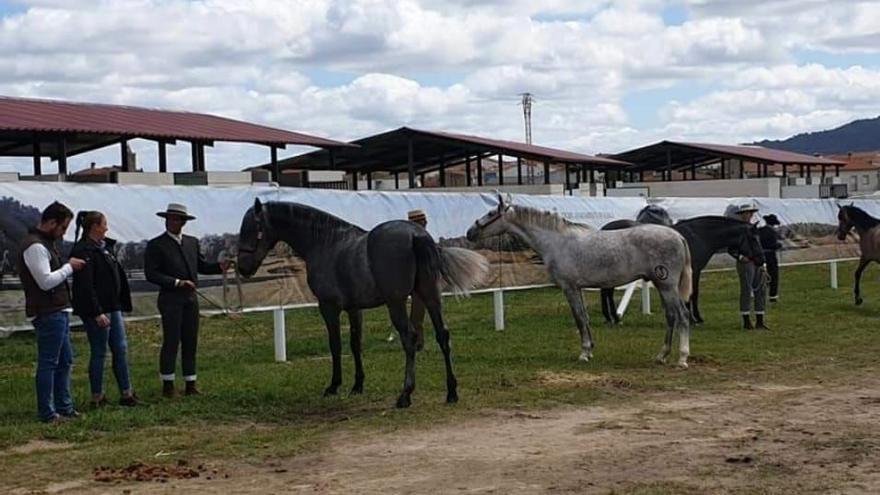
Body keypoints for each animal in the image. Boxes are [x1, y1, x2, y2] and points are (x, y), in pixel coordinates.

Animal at [237, 200, 492, 408]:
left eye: (252, 229)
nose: (243, 268)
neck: (325, 243)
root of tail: (416, 235)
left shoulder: (328, 308)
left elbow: (335, 345)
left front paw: (334, 386)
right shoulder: (354, 309)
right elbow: (355, 344)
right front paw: (357, 386)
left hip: (396, 303)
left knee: (409, 338)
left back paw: (405, 395)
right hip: (430, 296)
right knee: (443, 335)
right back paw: (451, 392)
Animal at [468, 196, 696, 370]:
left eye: (491, 214)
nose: (470, 232)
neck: (557, 242)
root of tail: (677, 236)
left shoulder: (569, 287)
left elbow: (578, 318)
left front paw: (584, 353)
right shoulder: (578, 288)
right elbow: (584, 317)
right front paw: (590, 350)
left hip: (667, 285)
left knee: (682, 316)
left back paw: (682, 358)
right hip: (661, 285)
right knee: (671, 316)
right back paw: (661, 355)